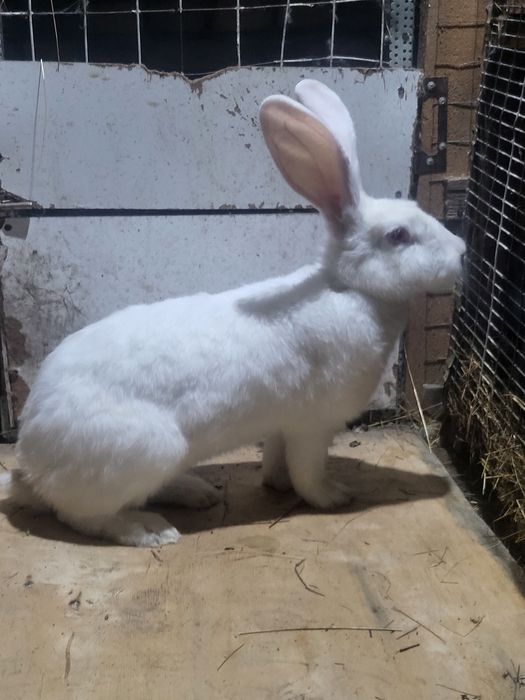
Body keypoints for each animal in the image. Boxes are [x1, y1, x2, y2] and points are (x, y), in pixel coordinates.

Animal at [0, 79, 465, 547]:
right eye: (399, 235)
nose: (462, 252)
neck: (350, 288)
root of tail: (31, 462)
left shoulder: (282, 425)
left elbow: (278, 463)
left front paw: (278, 486)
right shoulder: (312, 425)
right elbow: (308, 472)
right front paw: (334, 497)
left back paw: (196, 492)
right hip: (144, 454)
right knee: (83, 516)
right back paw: (152, 530)